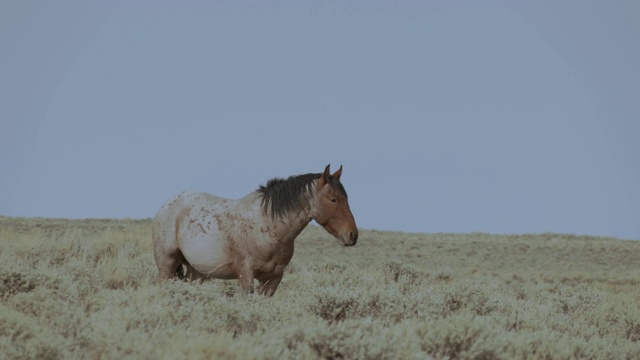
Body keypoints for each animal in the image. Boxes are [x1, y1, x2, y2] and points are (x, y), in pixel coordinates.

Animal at [152, 165, 358, 296]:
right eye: (333, 199)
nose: (352, 235)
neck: (269, 226)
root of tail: (167, 204)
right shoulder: (245, 275)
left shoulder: (272, 279)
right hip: (167, 266)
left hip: (196, 272)